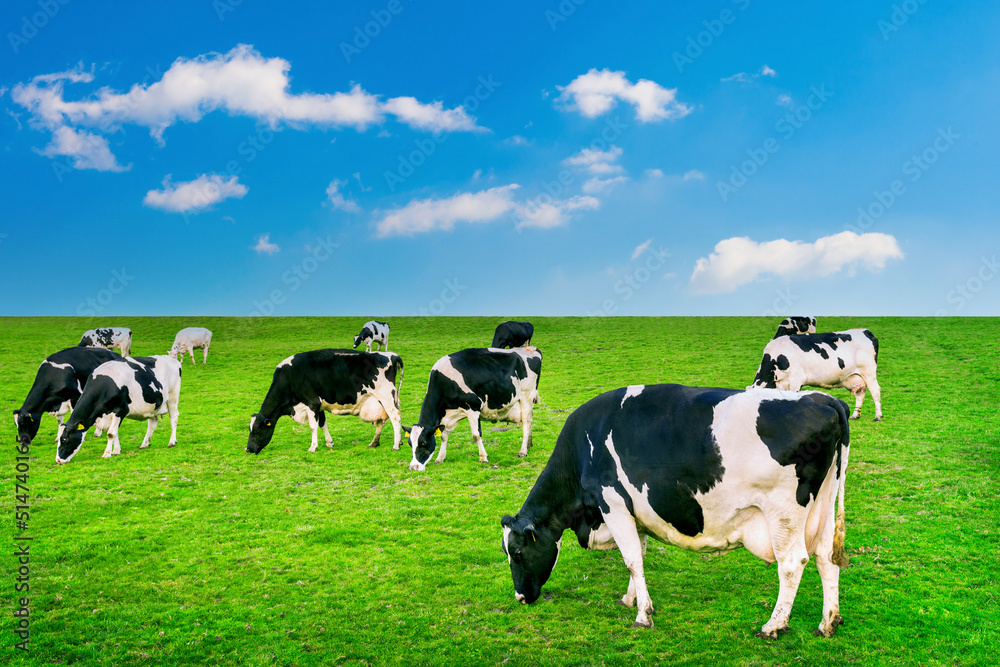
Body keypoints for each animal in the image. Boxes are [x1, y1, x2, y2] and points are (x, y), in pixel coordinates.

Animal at [55, 354, 183, 464]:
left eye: (65, 439)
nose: (58, 460)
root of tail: (172, 359)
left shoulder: (120, 410)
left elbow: (111, 433)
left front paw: (107, 453)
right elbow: (115, 432)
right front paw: (116, 451)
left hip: (173, 397)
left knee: (173, 418)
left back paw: (172, 442)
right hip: (153, 406)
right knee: (152, 423)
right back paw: (145, 443)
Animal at [245, 350, 402, 454]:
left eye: (257, 430)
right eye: (250, 429)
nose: (248, 449)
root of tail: (391, 354)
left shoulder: (312, 402)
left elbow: (313, 427)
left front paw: (313, 447)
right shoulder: (319, 406)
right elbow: (322, 423)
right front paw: (329, 442)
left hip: (387, 397)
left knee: (395, 417)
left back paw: (396, 445)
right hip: (382, 400)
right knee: (382, 420)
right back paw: (375, 443)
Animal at [404, 348, 544, 472]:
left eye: (423, 443)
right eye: (410, 443)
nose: (414, 467)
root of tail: (530, 349)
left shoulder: (473, 407)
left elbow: (476, 434)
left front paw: (483, 457)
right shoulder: (445, 416)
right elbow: (443, 436)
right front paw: (440, 458)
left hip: (527, 396)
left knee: (526, 423)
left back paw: (522, 451)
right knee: (530, 419)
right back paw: (529, 444)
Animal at [500, 384, 852, 640]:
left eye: (516, 553)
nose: (520, 597)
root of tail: (822, 398)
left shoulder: (613, 505)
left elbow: (631, 559)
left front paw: (642, 615)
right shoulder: (634, 513)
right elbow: (639, 556)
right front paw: (631, 599)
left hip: (784, 513)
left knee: (792, 563)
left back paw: (773, 626)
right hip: (824, 505)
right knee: (825, 559)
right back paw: (828, 622)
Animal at [752, 330, 884, 422]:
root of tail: (865, 331)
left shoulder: (796, 379)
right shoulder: (782, 383)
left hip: (868, 372)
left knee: (875, 391)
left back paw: (878, 416)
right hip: (857, 376)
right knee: (860, 393)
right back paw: (855, 415)